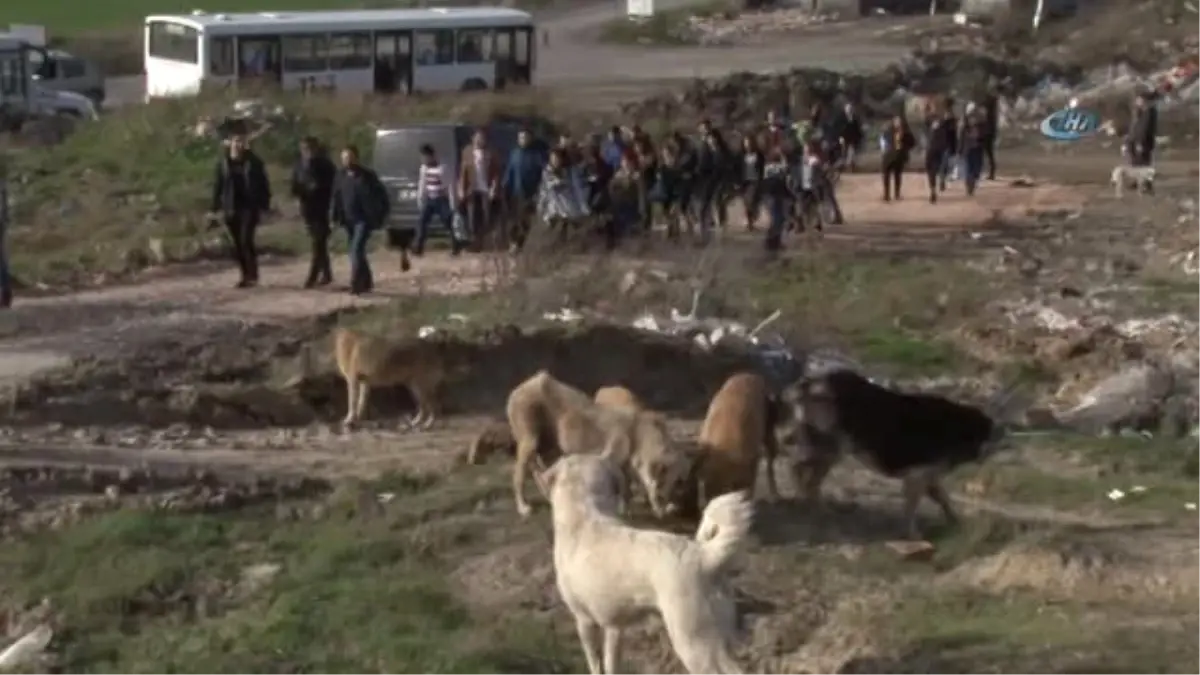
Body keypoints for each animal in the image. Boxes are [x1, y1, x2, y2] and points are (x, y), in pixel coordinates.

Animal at [338, 326, 468, 429]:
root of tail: (432, 346)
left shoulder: (353, 380)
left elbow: (352, 402)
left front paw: (349, 421)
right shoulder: (364, 381)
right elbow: (361, 402)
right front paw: (357, 420)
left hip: (420, 387)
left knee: (433, 407)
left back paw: (427, 425)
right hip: (414, 387)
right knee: (425, 408)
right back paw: (415, 423)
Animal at [506, 369, 696, 516]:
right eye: (677, 482)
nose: (674, 509)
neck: (640, 437)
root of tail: (519, 388)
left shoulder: (627, 465)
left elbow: (627, 486)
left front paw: (627, 507)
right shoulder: (610, 455)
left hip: (549, 440)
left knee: (540, 464)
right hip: (530, 431)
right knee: (520, 471)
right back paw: (523, 507)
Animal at [542, 451, 748, 672]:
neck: (584, 514)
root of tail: (705, 555)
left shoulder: (584, 621)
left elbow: (595, 664)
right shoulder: (615, 627)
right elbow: (610, 664)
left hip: (695, 643)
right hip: (720, 636)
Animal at [681, 369, 782, 516]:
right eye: (706, 493)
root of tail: (752, 375)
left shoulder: (751, 461)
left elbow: (749, 487)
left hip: (769, 432)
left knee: (770, 463)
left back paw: (775, 497)